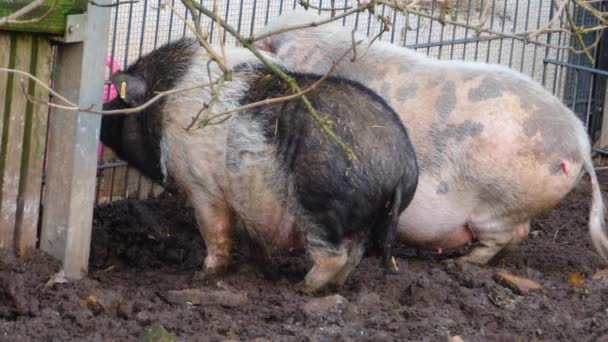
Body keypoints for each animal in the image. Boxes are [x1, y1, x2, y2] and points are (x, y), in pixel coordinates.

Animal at [102, 38, 420, 292]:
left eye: (116, 102)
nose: (100, 113)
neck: (164, 103)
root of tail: (401, 167)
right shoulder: (245, 200)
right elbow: (252, 238)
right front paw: (260, 271)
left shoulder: (202, 185)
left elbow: (215, 232)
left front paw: (202, 276)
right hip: (367, 218)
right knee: (354, 256)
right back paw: (331, 287)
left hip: (320, 202)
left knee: (334, 255)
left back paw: (302, 288)